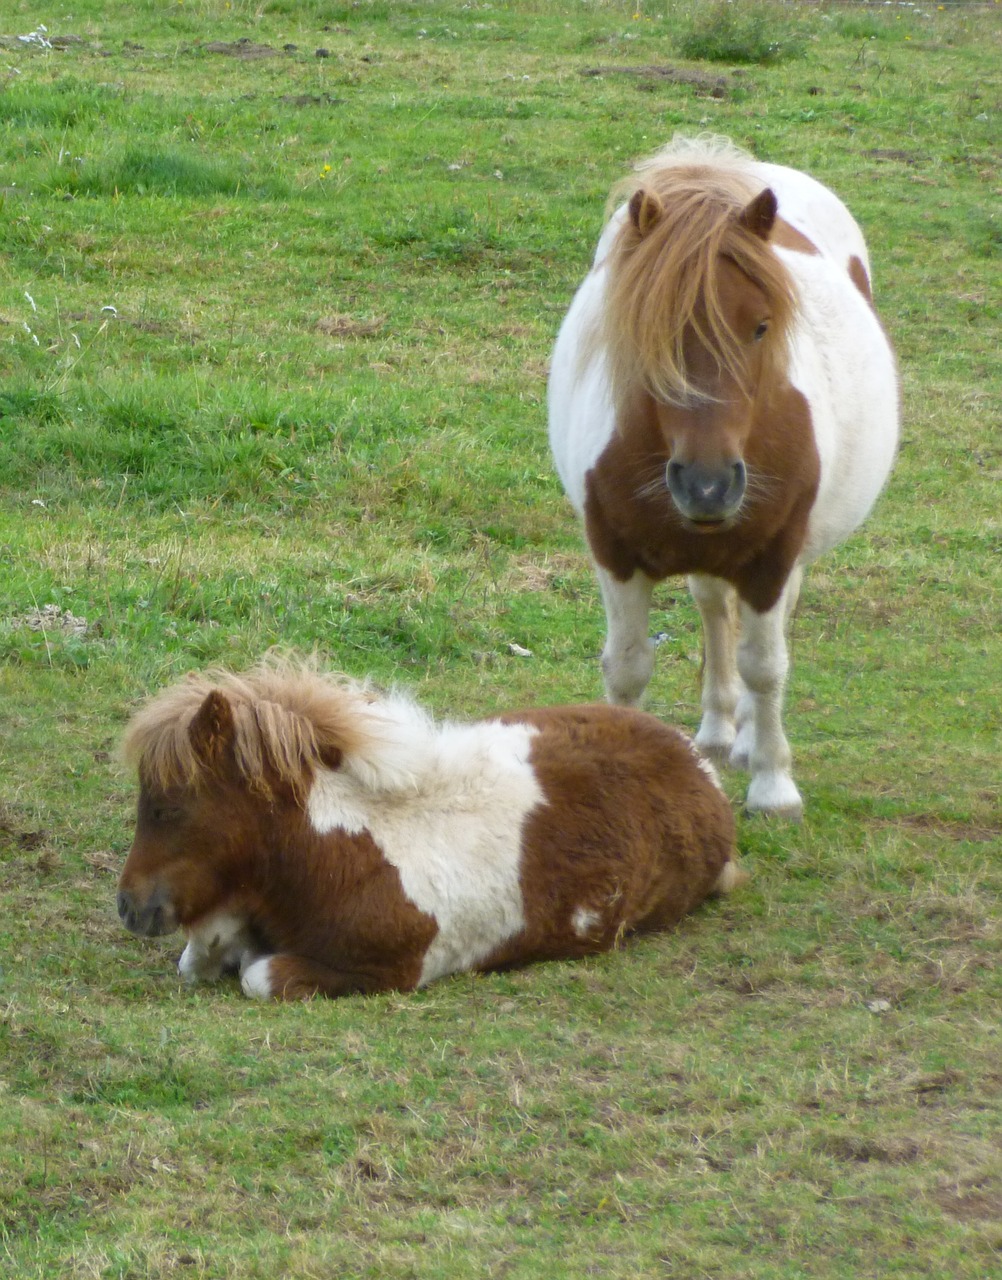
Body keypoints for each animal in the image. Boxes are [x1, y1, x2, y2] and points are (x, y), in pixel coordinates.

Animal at [119, 660, 742, 998]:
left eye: (167, 808)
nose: (130, 908)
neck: (328, 853)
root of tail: (698, 764)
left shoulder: (388, 971)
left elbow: (258, 976)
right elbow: (201, 957)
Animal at [547, 135, 900, 819]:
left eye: (761, 326)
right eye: (648, 331)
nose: (707, 487)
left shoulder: (772, 554)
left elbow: (765, 664)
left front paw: (773, 785)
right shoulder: (613, 553)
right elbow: (627, 666)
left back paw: (748, 743)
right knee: (713, 610)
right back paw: (716, 733)